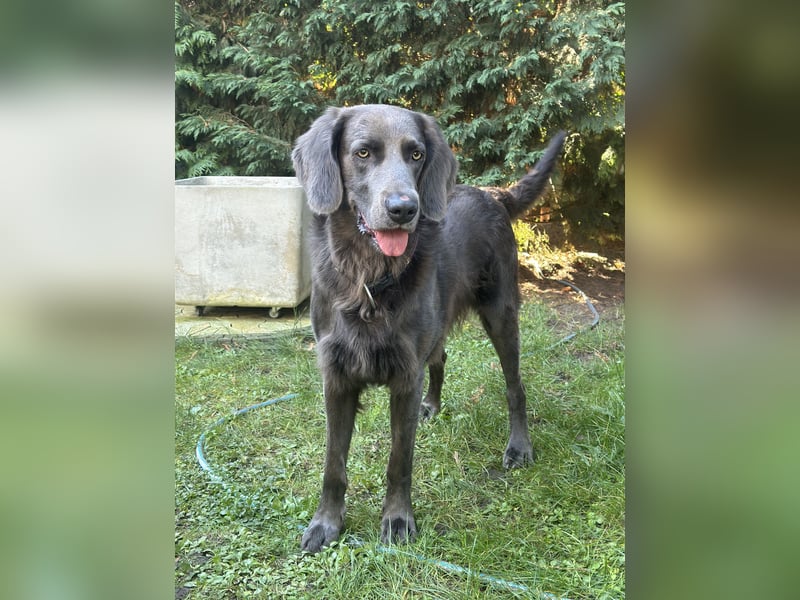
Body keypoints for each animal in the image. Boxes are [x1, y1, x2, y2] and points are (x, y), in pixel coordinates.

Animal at [290, 104, 564, 552]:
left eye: (416, 155)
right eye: (362, 153)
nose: (404, 209)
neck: (370, 280)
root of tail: (493, 194)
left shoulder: (404, 375)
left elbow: (399, 460)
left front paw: (398, 519)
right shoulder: (337, 375)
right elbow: (333, 462)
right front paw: (325, 523)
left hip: (501, 315)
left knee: (515, 387)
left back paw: (518, 447)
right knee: (441, 357)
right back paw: (432, 405)